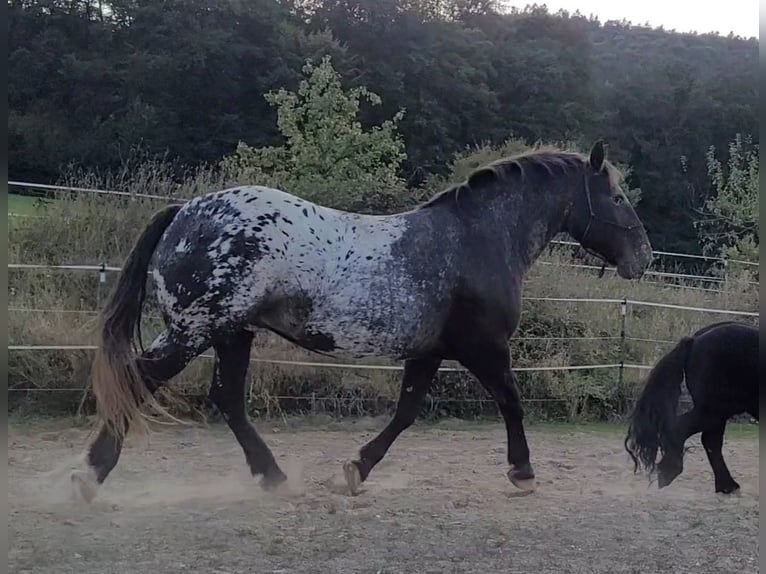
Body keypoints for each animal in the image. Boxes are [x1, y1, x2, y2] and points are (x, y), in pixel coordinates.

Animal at [70, 141, 656, 504]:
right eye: (617, 196)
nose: (644, 258)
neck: (477, 239)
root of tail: (186, 211)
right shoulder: (484, 347)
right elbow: (511, 402)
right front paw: (523, 473)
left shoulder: (430, 351)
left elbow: (406, 413)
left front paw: (356, 471)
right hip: (193, 331)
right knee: (140, 381)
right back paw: (90, 476)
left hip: (230, 333)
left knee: (226, 399)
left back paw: (273, 477)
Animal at [628, 324, 760, 496]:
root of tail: (694, 341)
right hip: (715, 410)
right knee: (687, 432)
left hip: (717, 413)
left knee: (710, 441)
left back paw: (726, 486)